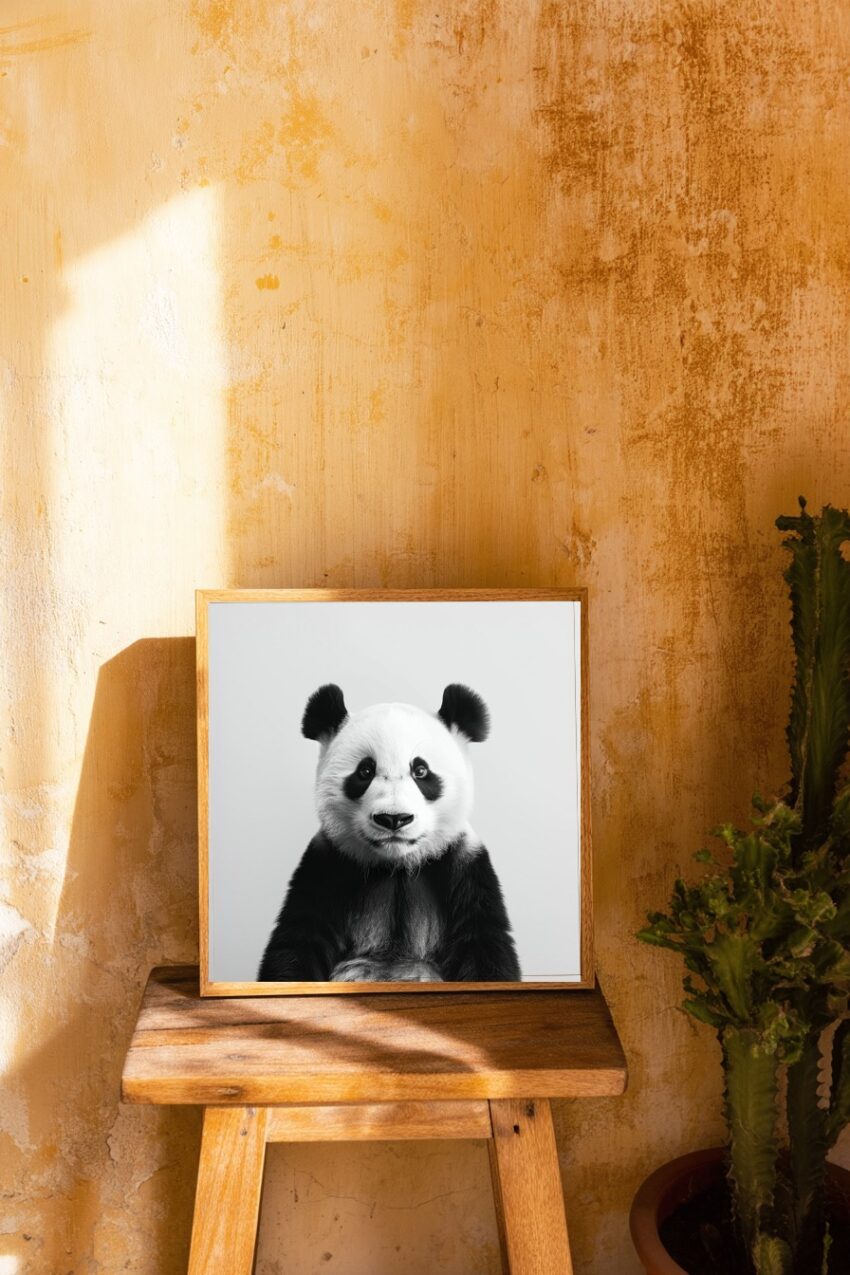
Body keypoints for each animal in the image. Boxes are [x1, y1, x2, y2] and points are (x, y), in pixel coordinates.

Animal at [258, 682, 521, 983]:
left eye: (421, 770)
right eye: (365, 771)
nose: (394, 819)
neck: (397, 865)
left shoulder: (464, 865)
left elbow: (483, 944)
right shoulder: (326, 864)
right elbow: (297, 941)